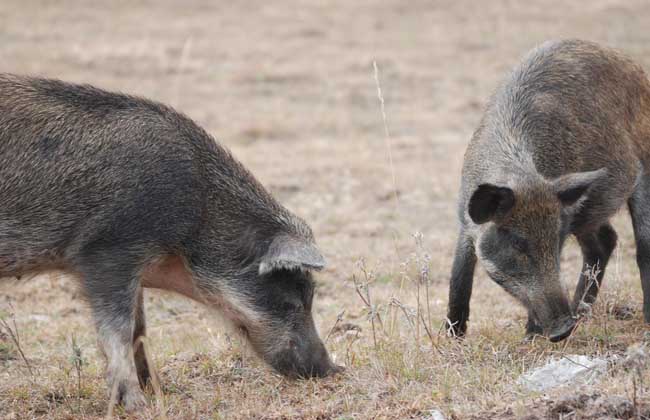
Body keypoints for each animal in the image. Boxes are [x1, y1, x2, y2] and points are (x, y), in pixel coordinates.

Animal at [0, 74, 336, 408]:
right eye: (291, 301)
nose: (330, 368)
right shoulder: (107, 251)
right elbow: (119, 331)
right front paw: (138, 406)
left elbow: (140, 329)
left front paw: (160, 391)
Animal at [446, 39, 648, 342]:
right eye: (518, 242)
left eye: (555, 242)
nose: (564, 328)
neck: (521, 176)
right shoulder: (466, 222)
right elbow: (459, 276)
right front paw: (452, 336)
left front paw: (531, 337)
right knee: (605, 241)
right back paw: (580, 313)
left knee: (640, 244)